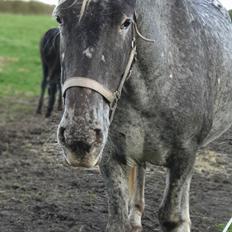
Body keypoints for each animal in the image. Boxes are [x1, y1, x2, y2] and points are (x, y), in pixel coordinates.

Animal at [54, 0, 232, 232]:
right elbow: (118, 218)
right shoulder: (110, 156)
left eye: (126, 22)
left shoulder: (184, 155)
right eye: (60, 18)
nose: (79, 138)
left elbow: (171, 215)